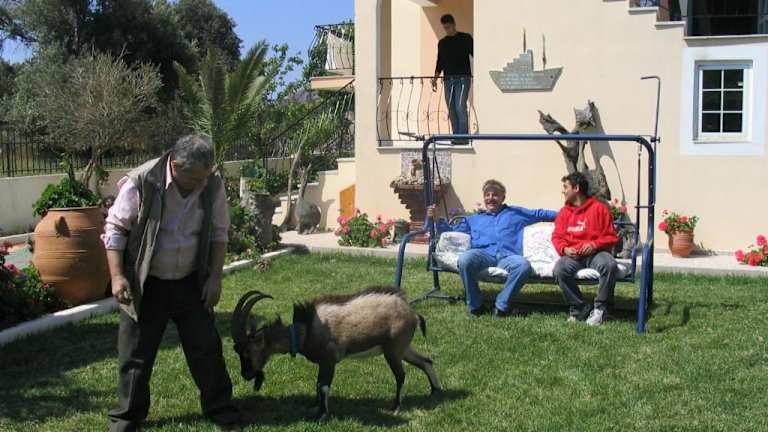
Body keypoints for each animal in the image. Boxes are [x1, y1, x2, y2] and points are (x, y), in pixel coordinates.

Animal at [230, 286, 442, 422]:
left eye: (247, 351)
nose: (246, 374)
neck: (307, 329)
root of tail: (413, 314)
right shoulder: (322, 363)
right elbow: (318, 384)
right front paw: (315, 407)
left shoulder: (329, 360)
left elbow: (323, 386)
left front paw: (322, 415)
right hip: (402, 348)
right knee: (426, 361)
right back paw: (435, 391)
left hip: (392, 350)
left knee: (401, 375)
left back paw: (396, 408)